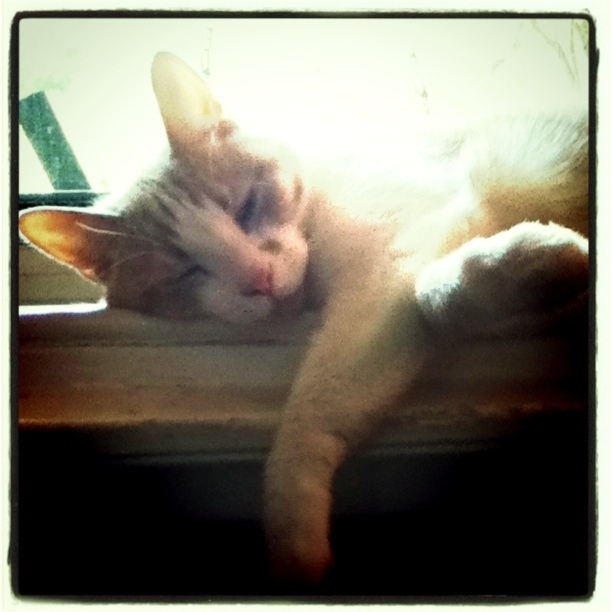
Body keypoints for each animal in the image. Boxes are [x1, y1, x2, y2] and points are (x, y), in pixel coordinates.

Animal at [19, 51, 589, 585]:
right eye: (185, 274)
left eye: (248, 207)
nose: (260, 279)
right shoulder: (392, 277)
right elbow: (426, 299)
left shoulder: (396, 259)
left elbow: (317, 408)